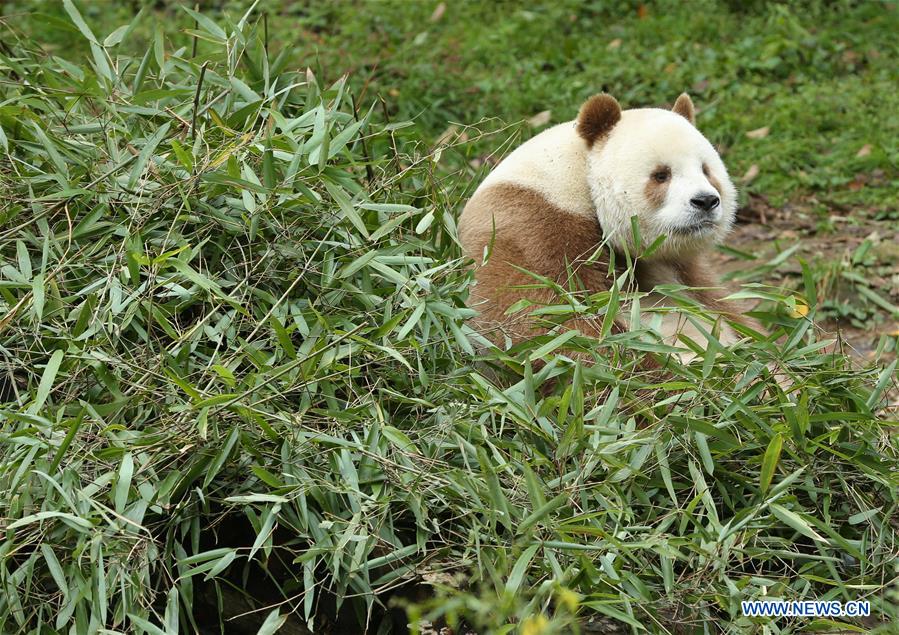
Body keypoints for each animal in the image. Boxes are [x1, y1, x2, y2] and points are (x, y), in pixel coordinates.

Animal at [458, 93, 752, 359]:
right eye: (661, 175)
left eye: (706, 170)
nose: (706, 201)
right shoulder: (533, 230)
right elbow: (549, 323)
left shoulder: (680, 268)